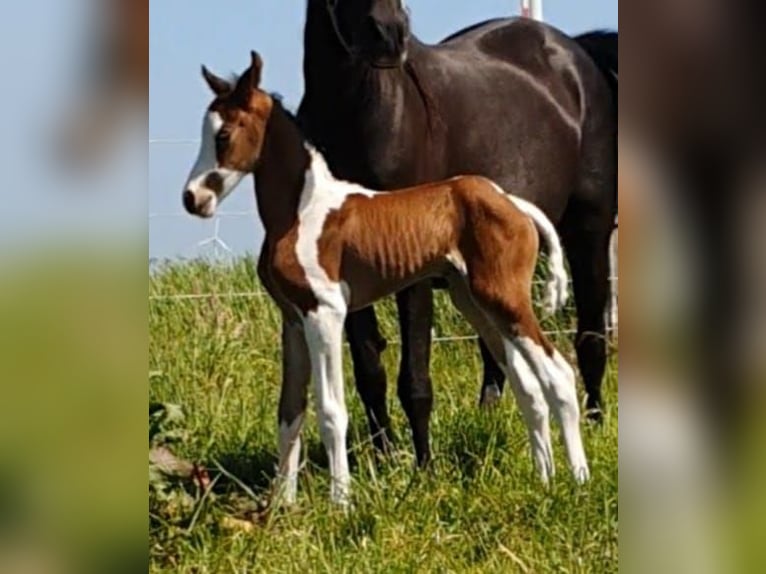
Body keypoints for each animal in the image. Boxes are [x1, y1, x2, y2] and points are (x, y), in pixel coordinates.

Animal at [182, 52, 589, 503]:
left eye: (223, 135)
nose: (193, 199)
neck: (301, 211)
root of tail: (511, 201)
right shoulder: (292, 319)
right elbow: (289, 413)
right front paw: (281, 506)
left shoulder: (325, 313)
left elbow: (331, 411)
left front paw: (341, 502)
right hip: (477, 303)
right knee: (528, 387)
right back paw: (543, 479)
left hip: (505, 298)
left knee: (560, 376)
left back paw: (578, 480)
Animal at [297, 1, 617, 467]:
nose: (389, 34)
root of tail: (577, 54)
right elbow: (369, 369)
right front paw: (383, 457)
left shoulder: (411, 276)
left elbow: (414, 377)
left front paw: (423, 466)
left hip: (589, 232)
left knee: (591, 336)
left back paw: (594, 424)